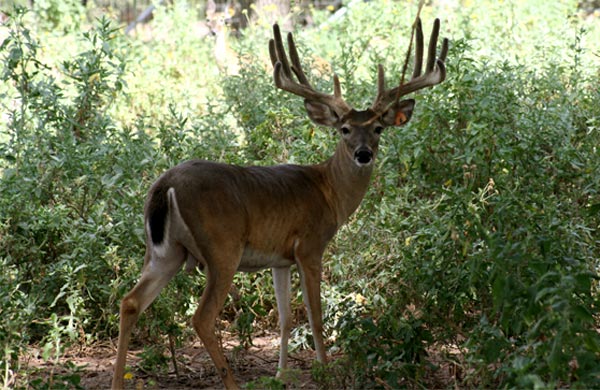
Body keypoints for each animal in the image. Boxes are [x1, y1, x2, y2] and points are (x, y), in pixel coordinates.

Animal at [112, 19, 448, 390]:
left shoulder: (279, 259)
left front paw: (281, 373)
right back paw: (232, 383)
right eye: (344, 129)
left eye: (378, 128)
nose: (364, 154)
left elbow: (285, 318)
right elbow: (315, 317)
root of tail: (165, 184)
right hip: (221, 247)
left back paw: (118, 381)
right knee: (201, 317)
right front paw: (325, 372)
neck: (329, 191)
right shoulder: (310, 246)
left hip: (165, 252)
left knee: (130, 302)